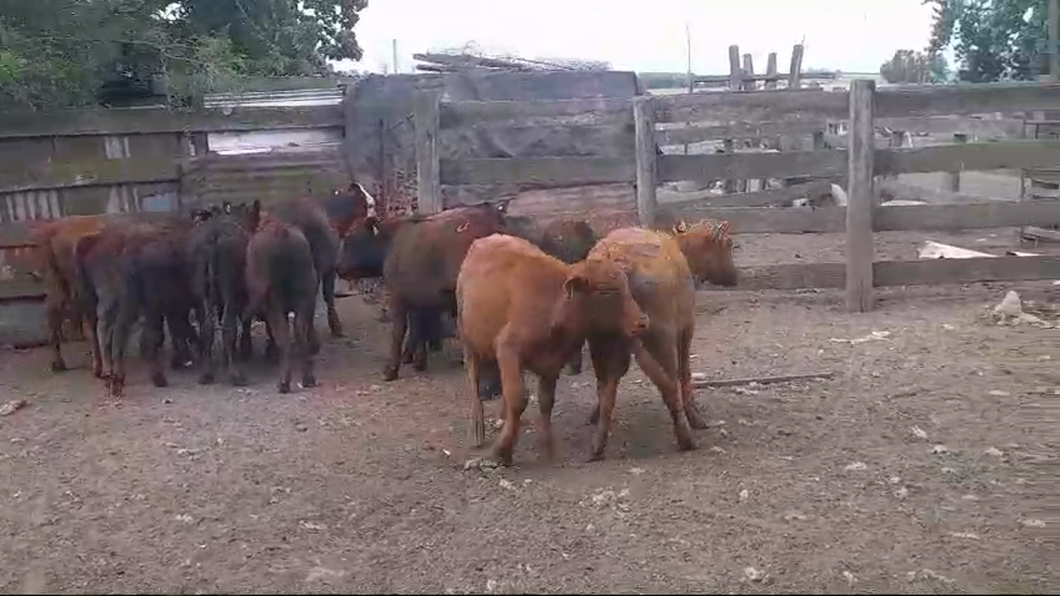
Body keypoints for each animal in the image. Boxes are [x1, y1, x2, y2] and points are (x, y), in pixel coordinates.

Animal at [453, 232, 644, 464]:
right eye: (607, 292)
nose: (642, 321)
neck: (555, 304)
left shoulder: (552, 364)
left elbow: (545, 401)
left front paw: (547, 445)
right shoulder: (508, 348)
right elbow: (518, 397)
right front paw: (503, 449)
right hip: (468, 340)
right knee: (474, 379)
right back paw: (477, 429)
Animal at [580, 220, 737, 456]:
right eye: (728, 244)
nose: (735, 277)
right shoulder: (686, 326)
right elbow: (684, 372)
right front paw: (695, 414)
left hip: (598, 338)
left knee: (605, 384)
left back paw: (597, 444)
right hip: (661, 335)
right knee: (669, 383)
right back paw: (686, 436)